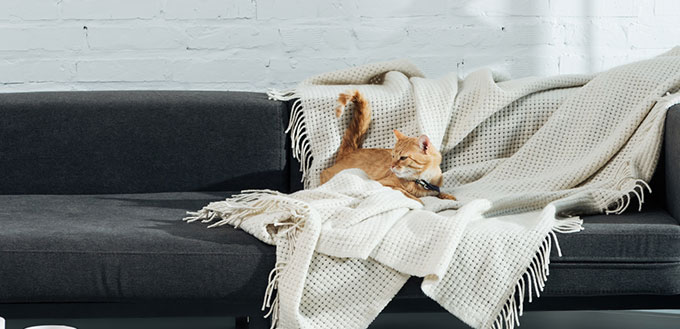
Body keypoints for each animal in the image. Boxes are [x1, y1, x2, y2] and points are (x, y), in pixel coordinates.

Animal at [320, 90, 456, 202]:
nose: (391, 166)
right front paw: (419, 202)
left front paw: (448, 196)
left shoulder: (435, 188)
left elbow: (440, 193)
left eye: (403, 158)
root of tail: (351, 151)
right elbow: (407, 194)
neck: (423, 181)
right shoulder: (383, 183)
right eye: (392, 156)